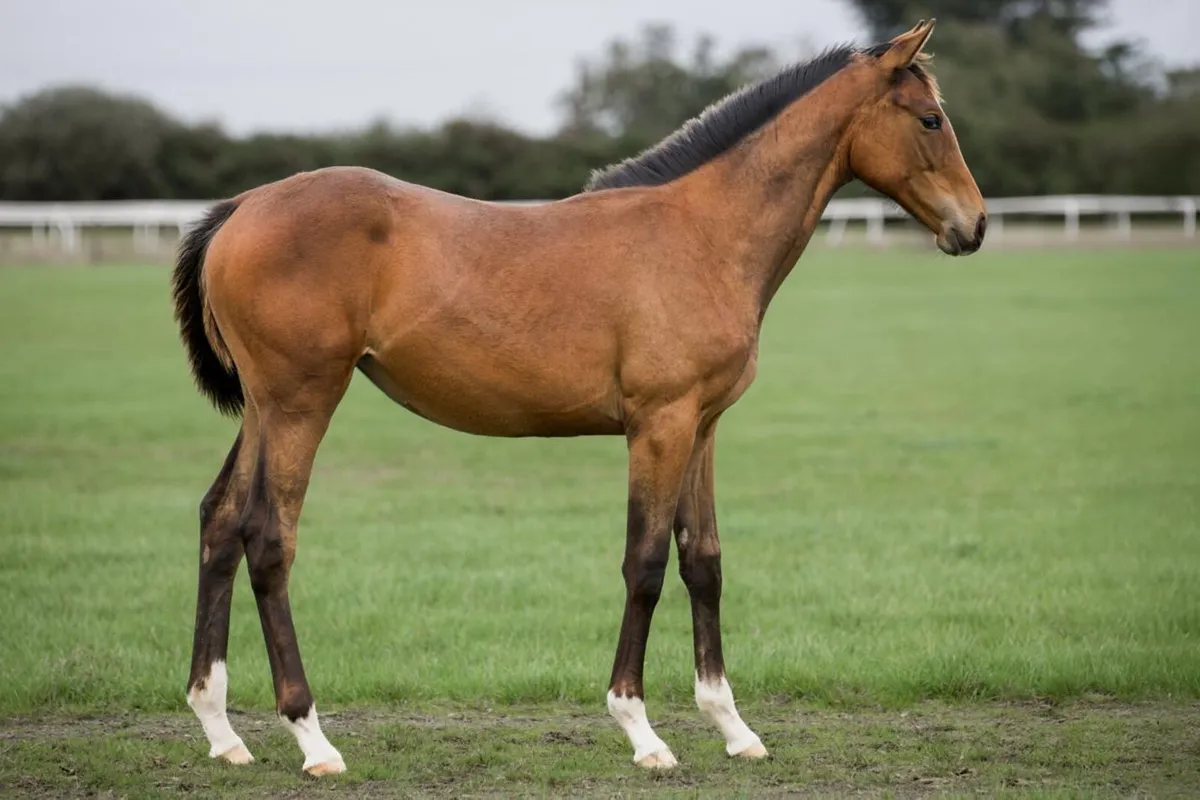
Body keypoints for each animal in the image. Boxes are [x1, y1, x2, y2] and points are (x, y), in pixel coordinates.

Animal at [172, 18, 985, 776]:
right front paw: (642, 731)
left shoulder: (702, 426)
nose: (973, 225)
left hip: (264, 411)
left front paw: (733, 728)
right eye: (929, 120)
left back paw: (222, 730)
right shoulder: (659, 425)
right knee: (268, 539)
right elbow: (646, 564)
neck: (701, 234)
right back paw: (312, 737)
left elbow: (704, 562)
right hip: (301, 403)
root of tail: (241, 208)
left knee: (220, 522)